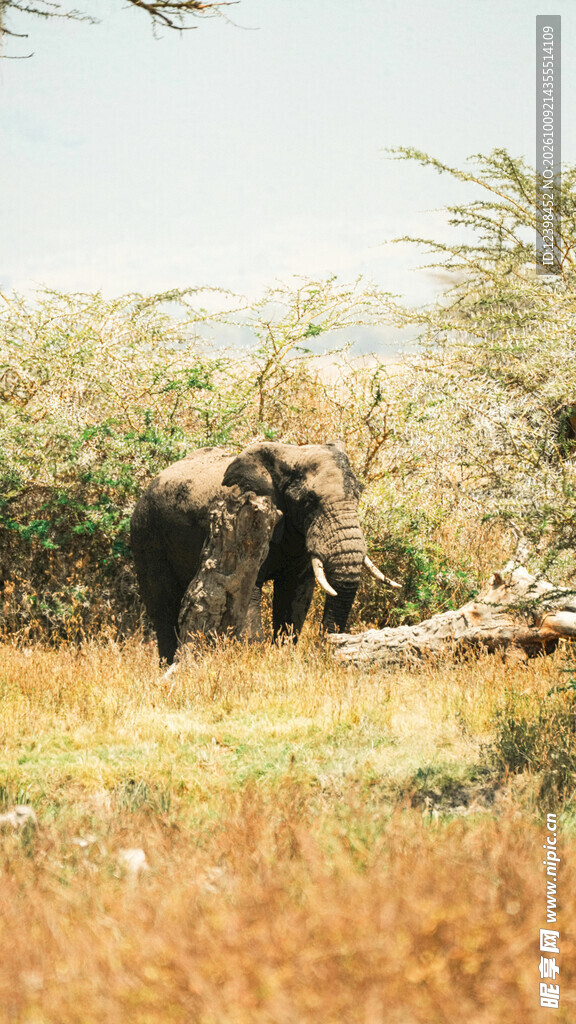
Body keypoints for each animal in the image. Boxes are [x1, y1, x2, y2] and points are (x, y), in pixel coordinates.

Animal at [130, 441, 391, 664]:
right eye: (309, 500)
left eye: (359, 493)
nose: (327, 646)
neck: (291, 455)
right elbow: (248, 591)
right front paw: (254, 656)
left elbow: (295, 596)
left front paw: (283, 656)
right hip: (146, 535)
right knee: (163, 607)